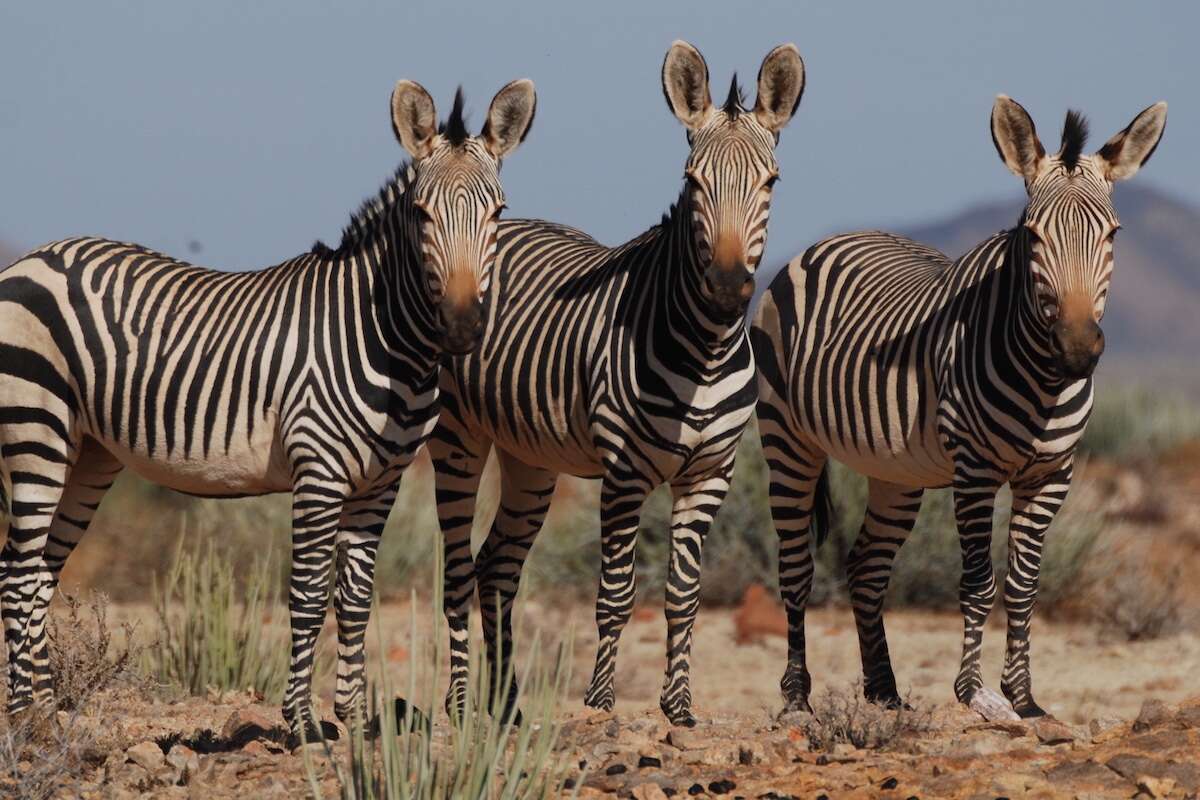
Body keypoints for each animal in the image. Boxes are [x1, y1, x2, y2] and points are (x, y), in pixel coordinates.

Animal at [0, 78, 536, 739]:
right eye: (420, 213)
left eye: (498, 214)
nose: (462, 329)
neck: (386, 339)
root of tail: (34, 256)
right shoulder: (319, 473)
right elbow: (307, 596)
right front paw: (301, 723)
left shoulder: (379, 484)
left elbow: (354, 600)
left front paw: (353, 720)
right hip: (37, 430)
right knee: (19, 573)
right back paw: (24, 716)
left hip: (89, 452)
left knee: (41, 572)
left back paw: (47, 712)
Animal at [429, 40, 805, 726]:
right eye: (693, 181)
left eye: (771, 182)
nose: (727, 288)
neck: (706, 348)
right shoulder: (625, 472)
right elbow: (617, 592)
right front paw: (601, 702)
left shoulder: (710, 473)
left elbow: (684, 594)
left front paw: (679, 706)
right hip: (457, 440)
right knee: (460, 570)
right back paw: (463, 704)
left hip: (530, 458)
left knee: (496, 568)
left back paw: (509, 706)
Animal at [752, 96, 1167, 717]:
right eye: (1032, 236)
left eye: (1113, 235)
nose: (1076, 349)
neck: (1043, 382)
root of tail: (828, 240)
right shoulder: (975, 470)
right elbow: (978, 582)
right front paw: (972, 693)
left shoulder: (1052, 474)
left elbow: (1023, 584)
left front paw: (1024, 699)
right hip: (788, 440)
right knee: (797, 565)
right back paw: (798, 697)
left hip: (896, 470)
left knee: (866, 566)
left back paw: (884, 691)